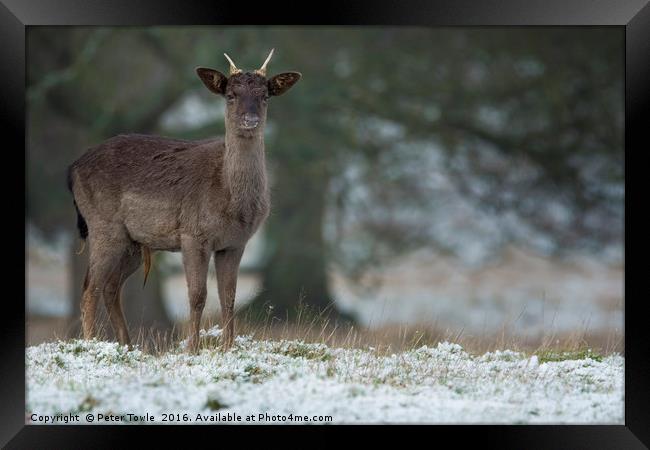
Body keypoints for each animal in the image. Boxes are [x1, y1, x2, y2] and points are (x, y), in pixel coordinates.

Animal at [65, 49, 302, 352]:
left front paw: (227, 347)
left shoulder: (235, 243)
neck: (230, 200)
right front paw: (192, 348)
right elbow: (198, 295)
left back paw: (127, 345)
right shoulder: (193, 233)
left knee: (110, 287)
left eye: (265, 95)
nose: (250, 119)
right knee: (90, 288)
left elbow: (229, 296)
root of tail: (72, 169)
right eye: (230, 95)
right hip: (103, 226)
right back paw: (91, 345)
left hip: (133, 243)